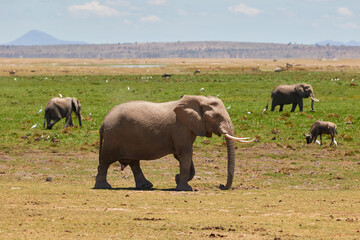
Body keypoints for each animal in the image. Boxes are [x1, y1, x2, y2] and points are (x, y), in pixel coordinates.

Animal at [94, 95, 255, 191]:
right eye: (216, 117)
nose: (221, 186)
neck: (198, 99)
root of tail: (103, 122)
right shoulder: (180, 129)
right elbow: (185, 154)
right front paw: (184, 187)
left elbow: (182, 156)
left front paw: (178, 180)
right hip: (113, 137)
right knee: (105, 162)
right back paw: (104, 186)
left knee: (134, 163)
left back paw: (146, 186)